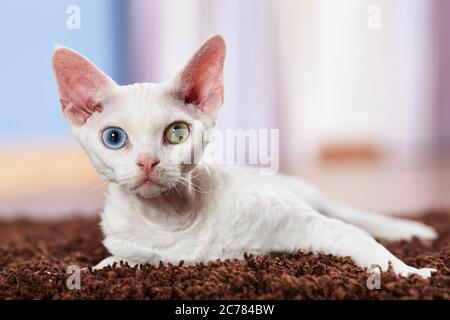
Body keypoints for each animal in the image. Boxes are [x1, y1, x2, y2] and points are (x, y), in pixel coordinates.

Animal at [51, 35, 436, 278]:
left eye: (177, 133)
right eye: (114, 138)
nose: (147, 162)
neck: (171, 218)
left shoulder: (303, 222)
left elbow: (362, 241)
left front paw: (410, 273)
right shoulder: (133, 253)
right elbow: (110, 264)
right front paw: (80, 273)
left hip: (307, 198)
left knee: (353, 217)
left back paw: (414, 232)